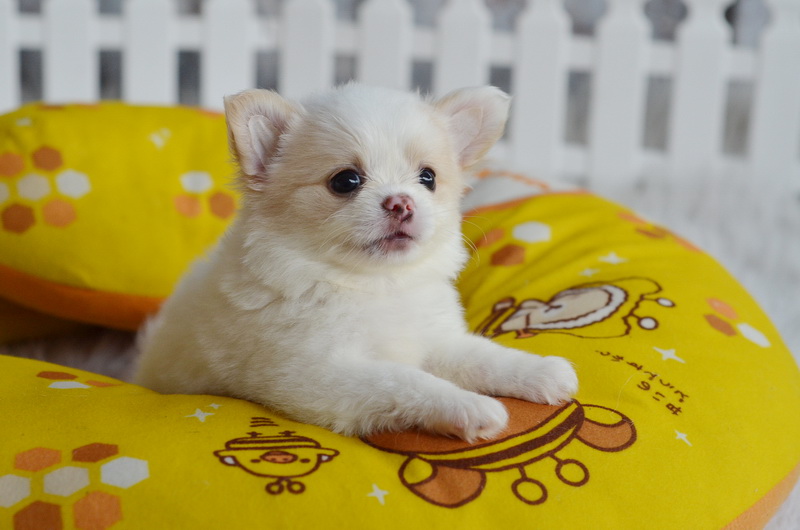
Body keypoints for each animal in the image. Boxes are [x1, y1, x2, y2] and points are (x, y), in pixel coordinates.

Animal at [134, 84, 578, 441]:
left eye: (428, 178)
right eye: (346, 181)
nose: (402, 202)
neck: (375, 284)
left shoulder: (436, 340)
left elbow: (484, 356)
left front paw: (542, 372)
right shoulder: (319, 374)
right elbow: (405, 379)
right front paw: (470, 407)